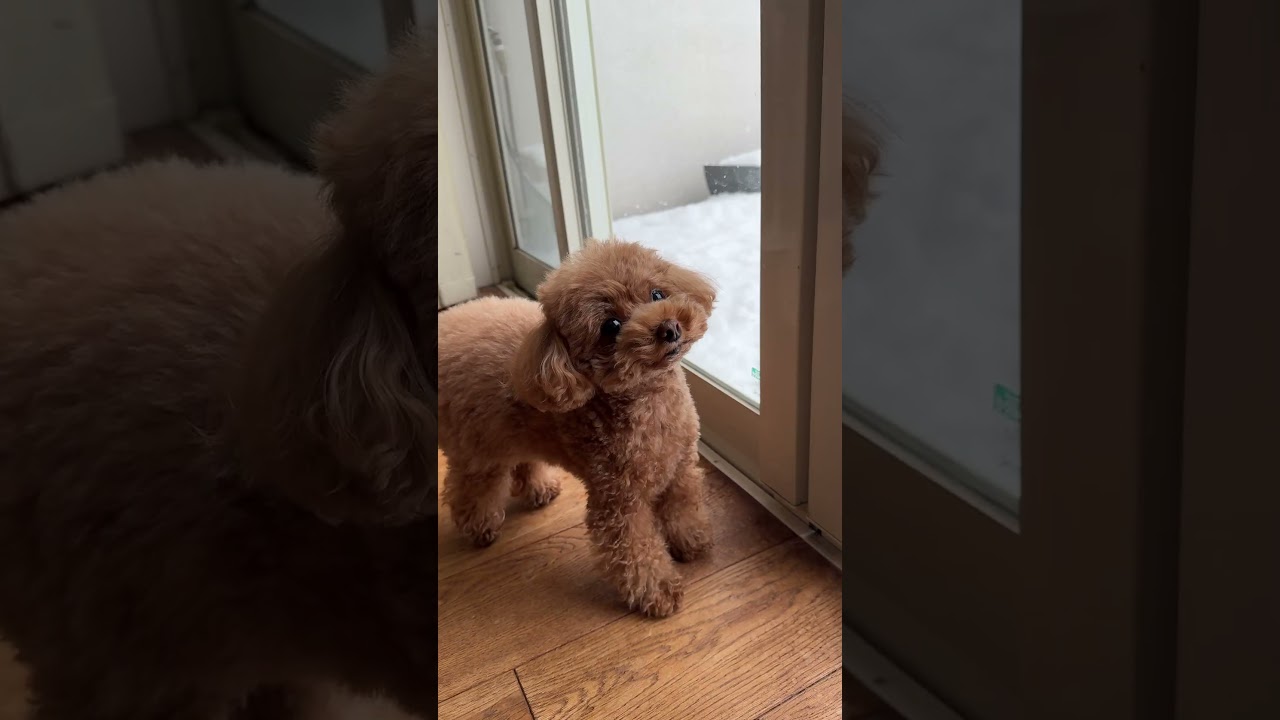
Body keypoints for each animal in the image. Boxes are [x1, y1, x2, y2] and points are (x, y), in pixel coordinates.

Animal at [438, 240, 717, 618]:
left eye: (657, 293)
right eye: (611, 326)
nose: (669, 328)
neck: (650, 402)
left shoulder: (680, 466)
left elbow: (683, 507)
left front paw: (691, 543)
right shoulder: (618, 499)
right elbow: (635, 550)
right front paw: (657, 591)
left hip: (515, 429)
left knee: (521, 459)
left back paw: (539, 488)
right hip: (478, 447)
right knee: (469, 488)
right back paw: (479, 527)